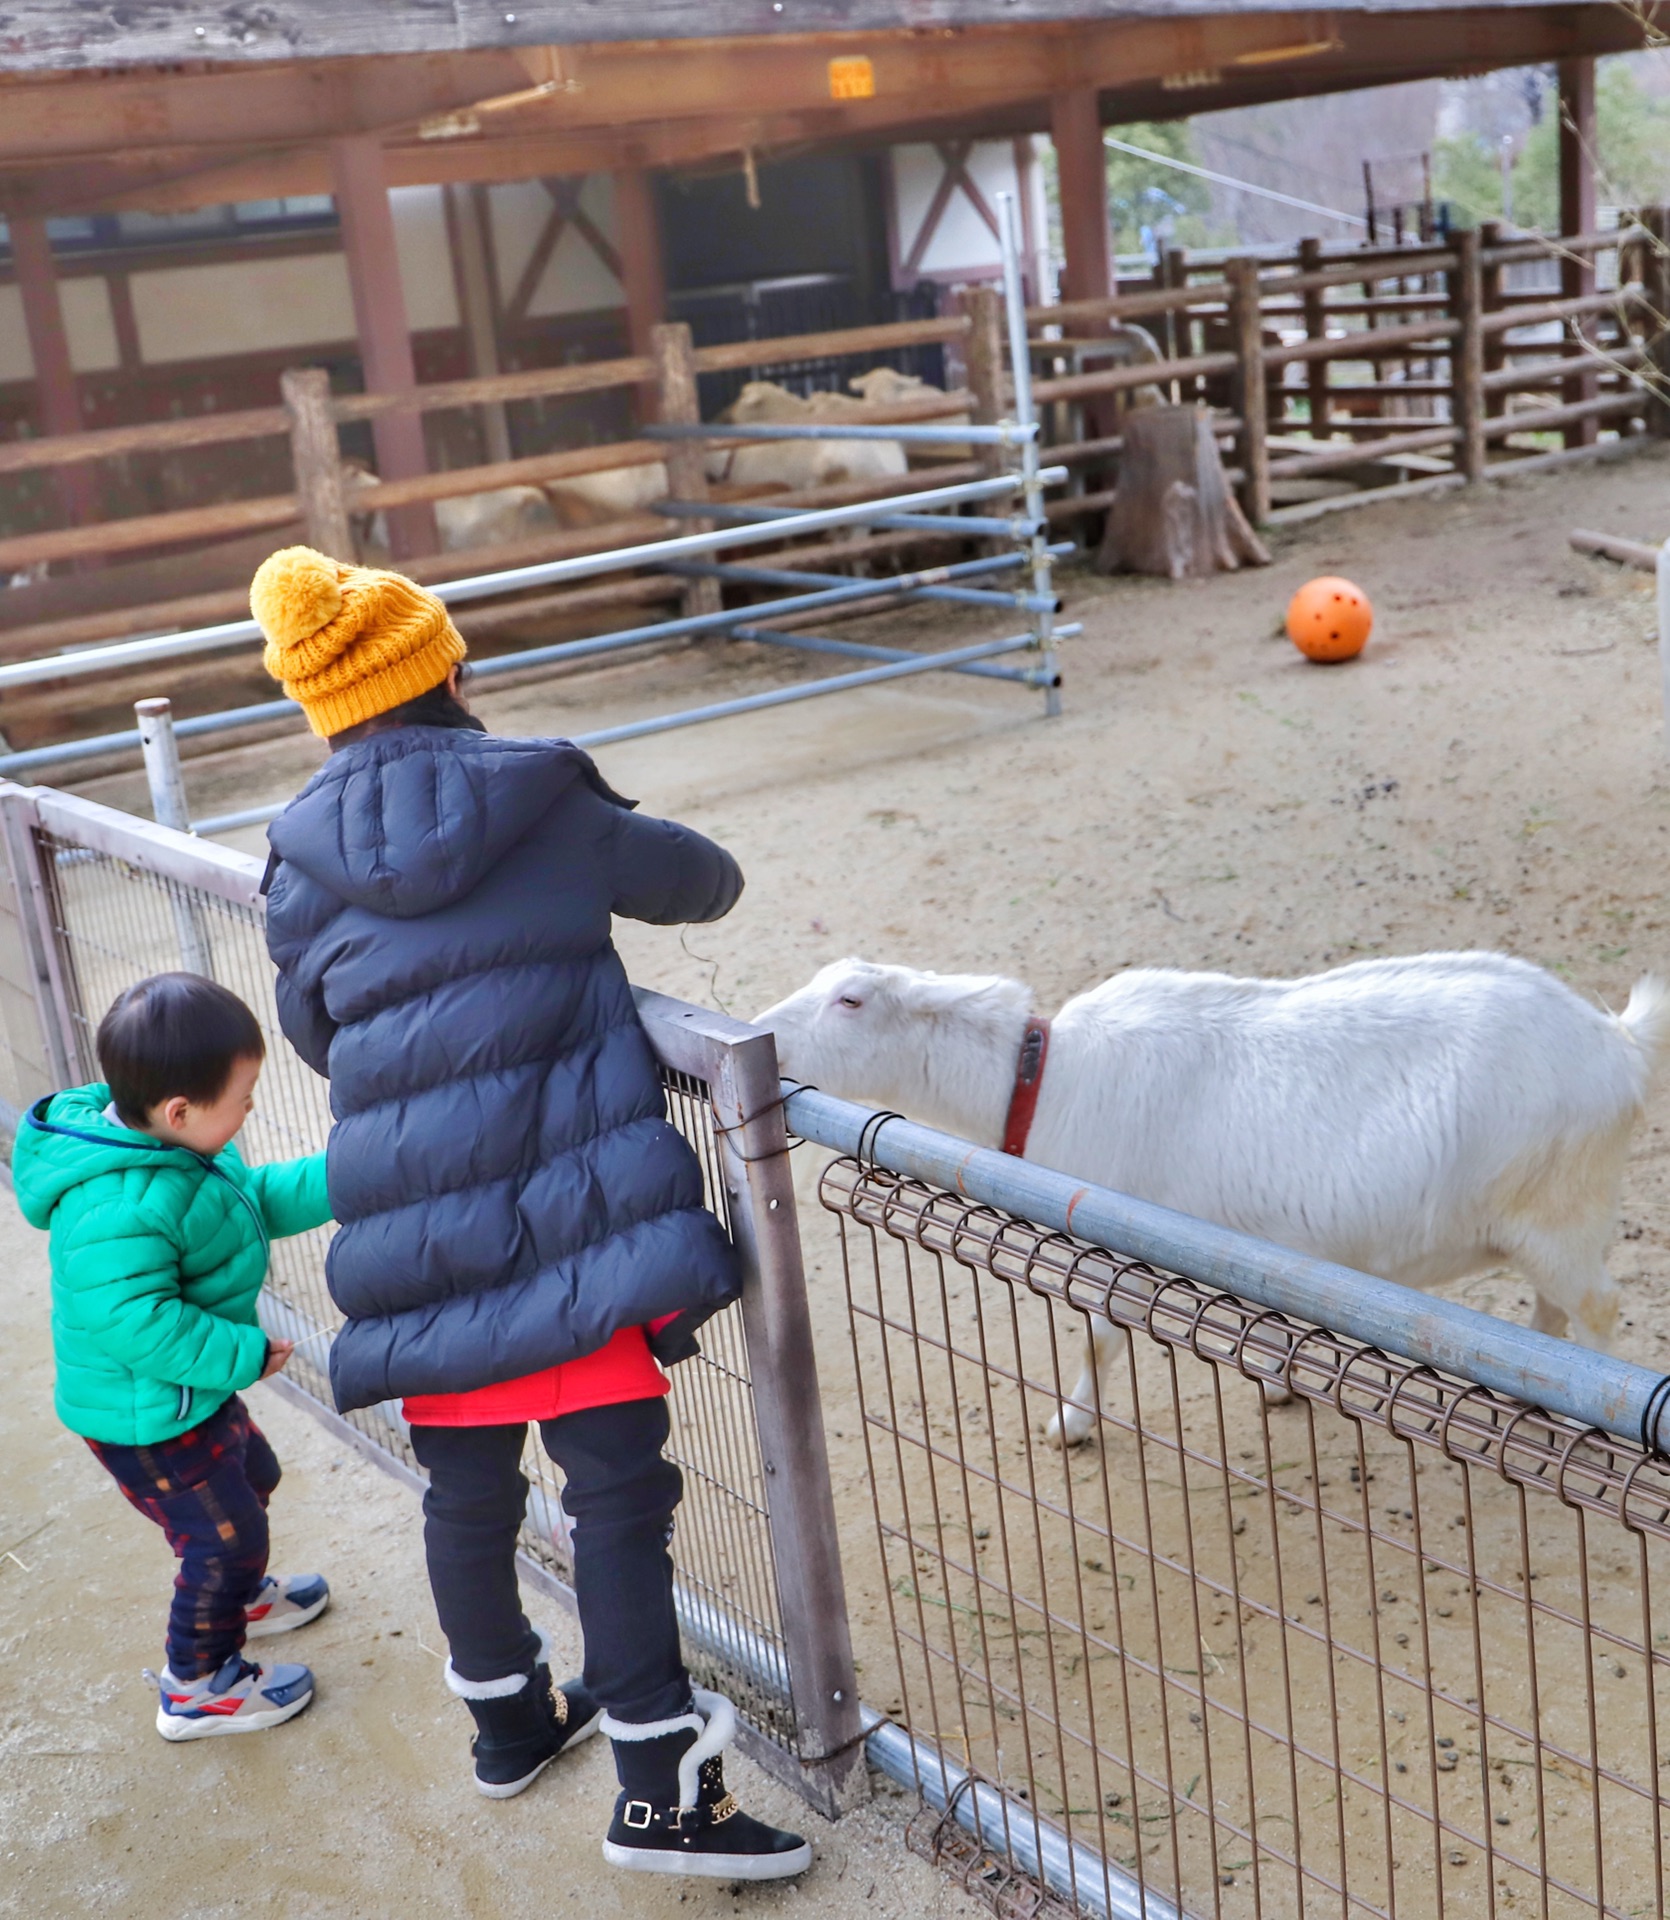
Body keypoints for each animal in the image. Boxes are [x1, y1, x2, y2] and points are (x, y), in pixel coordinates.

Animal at [760, 952, 1670, 1443]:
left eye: (851, 1000)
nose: (766, 1035)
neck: (1046, 1079)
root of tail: (1615, 1041)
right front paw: (1275, 1383)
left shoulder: (1111, 1238)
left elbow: (1098, 1342)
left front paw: (1071, 1425)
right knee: (1552, 1317)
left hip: (1563, 1208)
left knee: (1595, 1309)